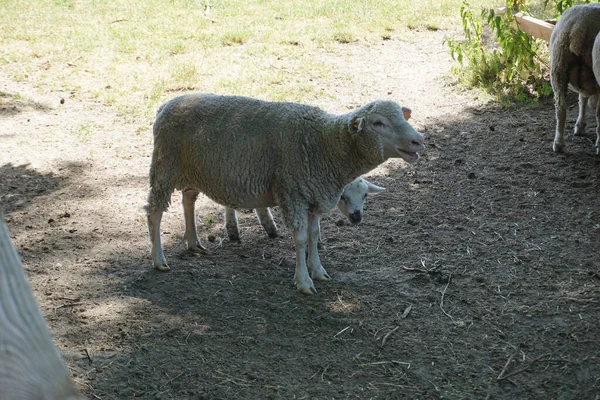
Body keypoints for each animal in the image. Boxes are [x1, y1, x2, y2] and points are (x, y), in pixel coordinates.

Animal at [548, 3, 600, 153]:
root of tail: (579, 26)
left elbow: (582, 99)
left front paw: (580, 126)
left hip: (558, 68)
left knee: (560, 109)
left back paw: (558, 144)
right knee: (599, 114)